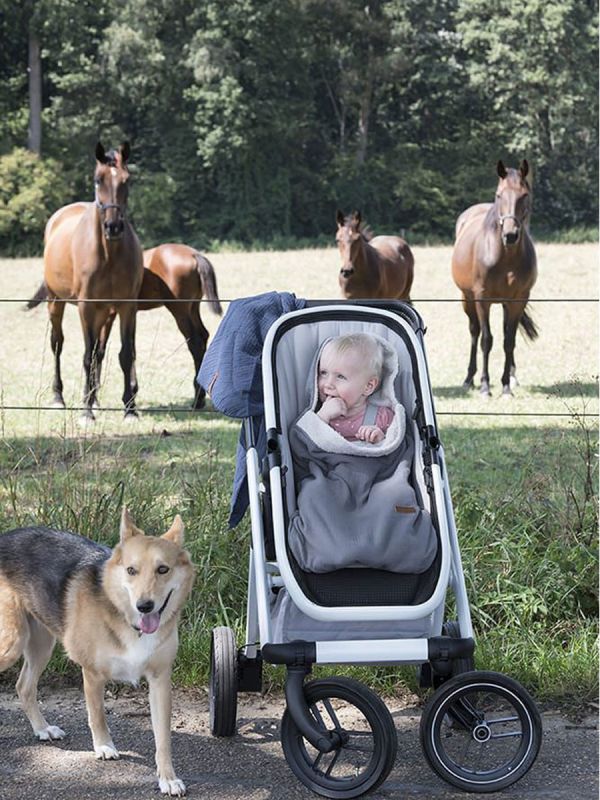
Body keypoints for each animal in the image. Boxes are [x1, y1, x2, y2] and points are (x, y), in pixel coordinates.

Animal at [0, 510, 195, 796]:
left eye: (163, 569)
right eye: (131, 570)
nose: (145, 606)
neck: (128, 620)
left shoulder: (160, 681)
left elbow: (163, 739)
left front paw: (168, 777)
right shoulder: (92, 674)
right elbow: (98, 715)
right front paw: (104, 746)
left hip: (41, 645)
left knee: (24, 686)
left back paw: (42, 728)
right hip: (11, 644)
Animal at [26, 141, 143, 422]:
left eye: (126, 180)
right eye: (98, 180)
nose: (113, 227)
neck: (109, 254)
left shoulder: (126, 307)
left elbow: (125, 354)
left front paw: (129, 408)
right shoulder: (86, 307)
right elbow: (86, 355)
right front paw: (86, 411)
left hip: (105, 313)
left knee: (100, 350)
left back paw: (96, 398)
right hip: (56, 302)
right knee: (58, 344)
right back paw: (59, 397)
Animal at [138, 242, 223, 406]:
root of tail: (194, 254)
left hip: (180, 310)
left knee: (194, 342)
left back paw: (198, 399)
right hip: (193, 307)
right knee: (203, 335)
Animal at [450, 161, 540, 398]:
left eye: (524, 195)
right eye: (499, 195)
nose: (510, 235)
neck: (505, 257)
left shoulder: (518, 300)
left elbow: (509, 340)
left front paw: (506, 386)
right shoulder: (482, 299)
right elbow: (486, 339)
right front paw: (484, 386)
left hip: (506, 304)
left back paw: (513, 376)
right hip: (467, 298)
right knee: (474, 332)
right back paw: (468, 379)